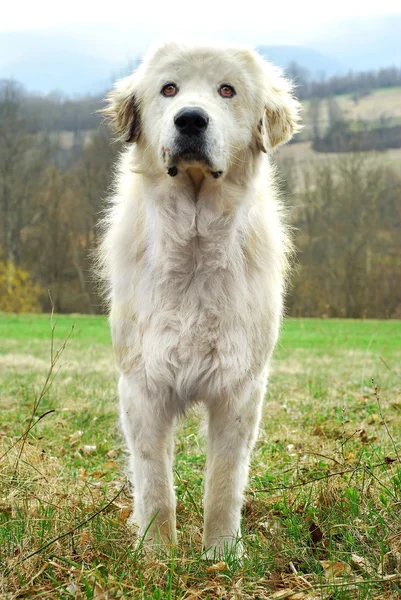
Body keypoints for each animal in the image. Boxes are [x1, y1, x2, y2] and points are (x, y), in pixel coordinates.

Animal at [97, 42, 300, 556]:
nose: (190, 119)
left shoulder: (239, 388)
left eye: (227, 90)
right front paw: (156, 554)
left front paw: (221, 554)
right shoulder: (143, 386)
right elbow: (154, 481)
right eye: (169, 89)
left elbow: (224, 481)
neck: (193, 242)